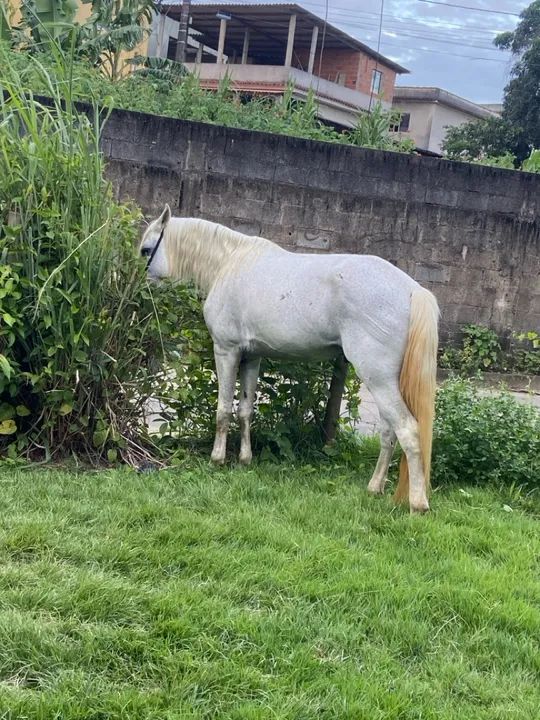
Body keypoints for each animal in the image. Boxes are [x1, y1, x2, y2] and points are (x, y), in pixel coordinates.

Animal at [140, 206, 439, 513]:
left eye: (146, 250)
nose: (139, 287)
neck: (229, 263)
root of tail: (413, 290)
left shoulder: (226, 350)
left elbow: (223, 409)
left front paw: (217, 459)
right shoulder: (252, 356)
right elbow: (245, 410)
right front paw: (244, 460)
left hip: (377, 378)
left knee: (407, 430)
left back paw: (417, 504)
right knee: (389, 432)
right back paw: (375, 488)